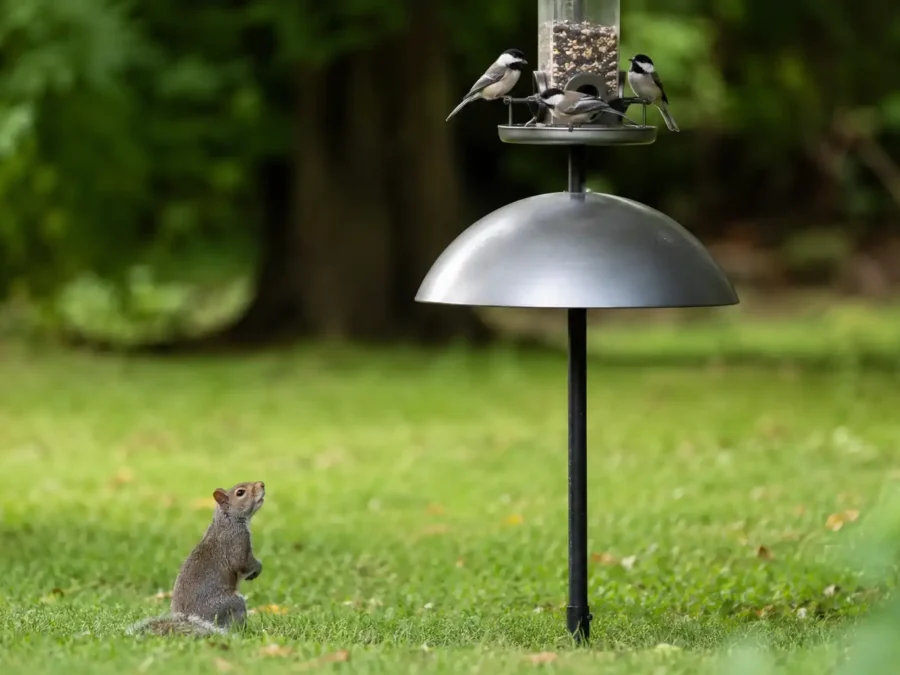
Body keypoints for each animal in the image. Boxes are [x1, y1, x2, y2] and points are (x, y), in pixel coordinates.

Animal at [127, 480, 266, 637]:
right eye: (240, 493)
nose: (262, 484)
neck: (227, 520)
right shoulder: (237, 541)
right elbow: (242, 563)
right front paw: (257, 568)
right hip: (233, 603)